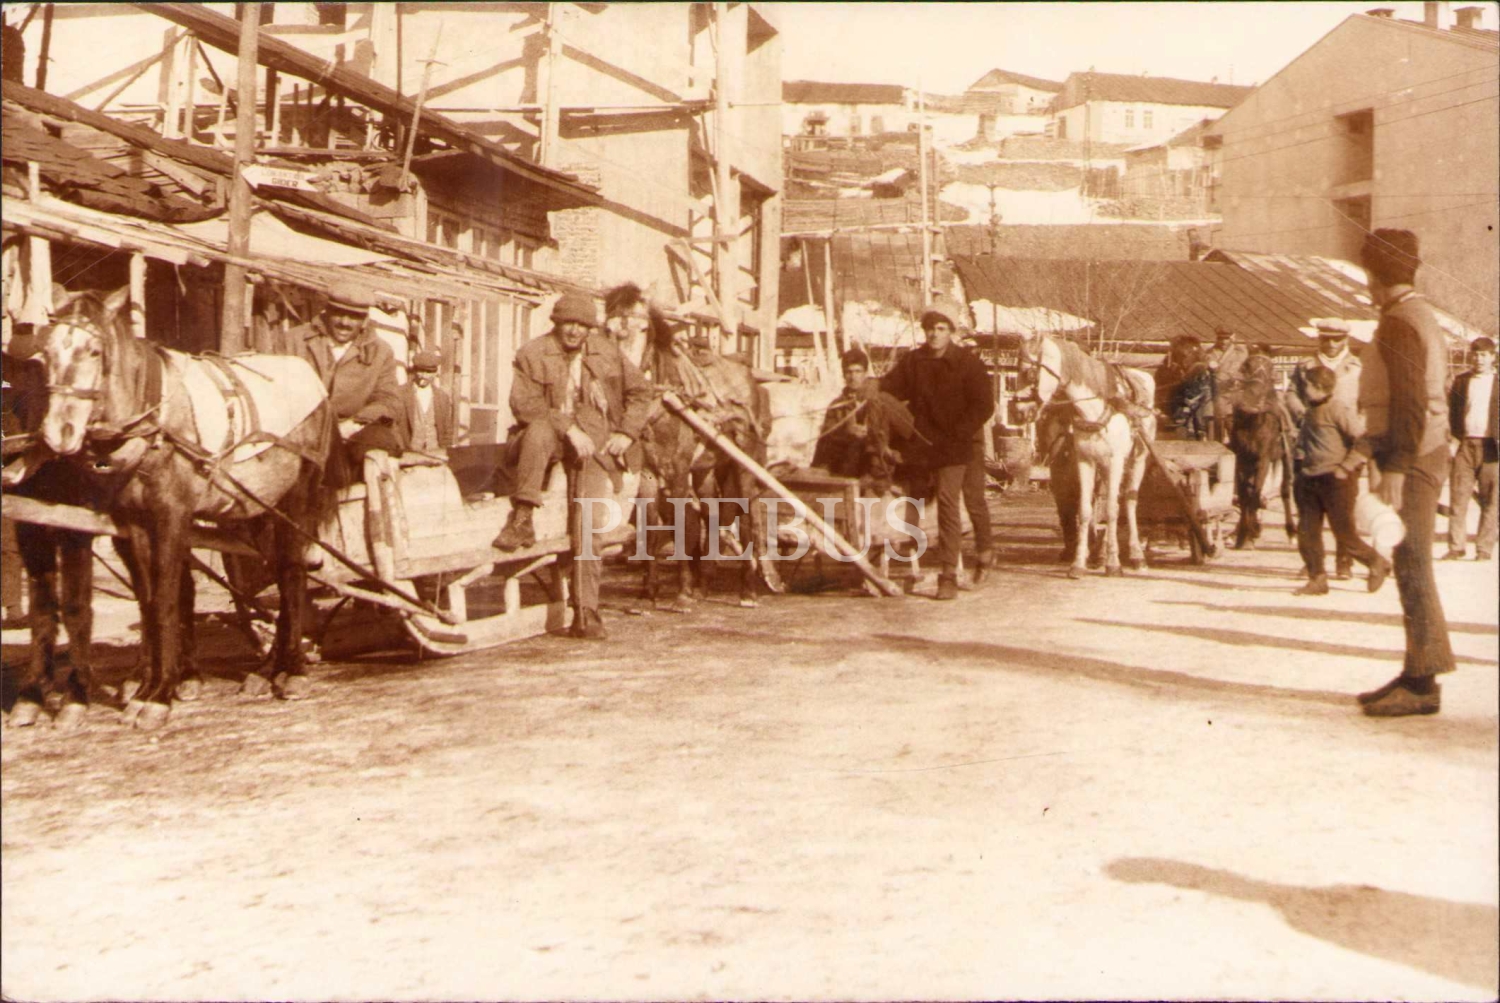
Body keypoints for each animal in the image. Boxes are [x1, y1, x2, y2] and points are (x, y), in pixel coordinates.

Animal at [25, 288, 332, 731]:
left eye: (95, 351)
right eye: (46, 353)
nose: (58, 432)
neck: (153, 423)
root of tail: (312, 379)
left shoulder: (171, 517)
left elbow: (169, 598)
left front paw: (160, 696)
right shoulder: (134, 523)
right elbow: (150, 603)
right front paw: (146, 688)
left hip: (298, 496)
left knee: (292, 574)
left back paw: (291, 670)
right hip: (260, 509)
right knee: (278, 570)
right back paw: (267, 669)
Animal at [1020, 332, 1157, 578]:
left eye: (1030, 373)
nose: (1019, 411)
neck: (1096, 409)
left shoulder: (1115, 462)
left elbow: (1112, 510)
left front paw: (1113, 564)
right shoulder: (1086, 462)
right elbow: (1085, 510)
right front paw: (1078, 564)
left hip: (1138, 460)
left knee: (1129, 501)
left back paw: (1136, 556)